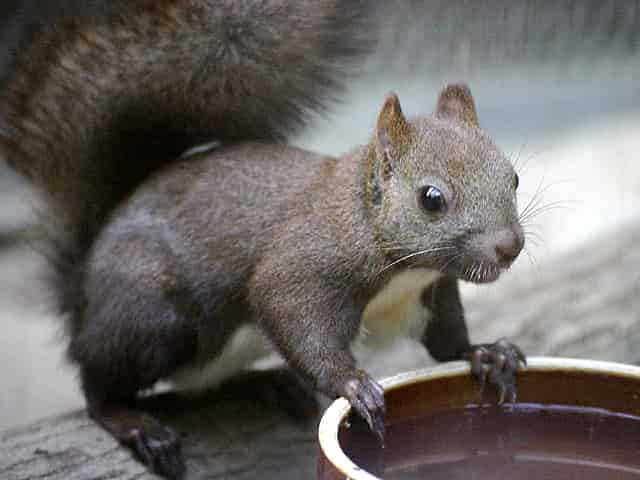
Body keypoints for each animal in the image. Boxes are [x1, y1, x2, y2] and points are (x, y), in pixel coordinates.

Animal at [0, 1, 524, 478]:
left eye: (514, 177)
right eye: (431, 198)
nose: (509, 247)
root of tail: (81, 290)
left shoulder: (427, 293)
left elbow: (447, 342)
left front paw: (487, 354)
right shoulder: (300, 267)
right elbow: (292, 316)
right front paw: (352, 383)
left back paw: (269, 384)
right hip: (153, 320)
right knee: (98, 383)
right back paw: (136, 422)